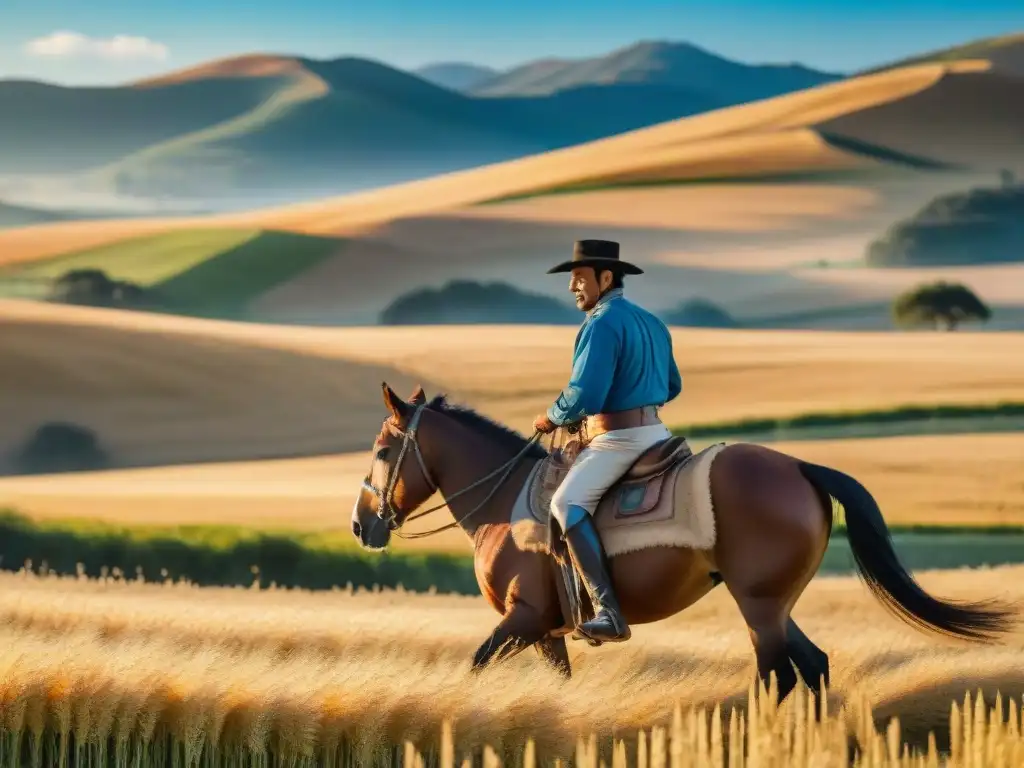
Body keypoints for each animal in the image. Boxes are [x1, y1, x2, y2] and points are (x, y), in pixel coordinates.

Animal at [352, 382, 1015, 708]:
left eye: (383, 449)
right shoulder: (545, 632)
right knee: (814, 666)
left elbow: (474, 666)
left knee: (777, 676)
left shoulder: (524, 619)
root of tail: (799, 466)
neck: (503, 501)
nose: (362, 526)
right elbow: (555, 687)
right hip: (774, 604)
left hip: (758, 607)